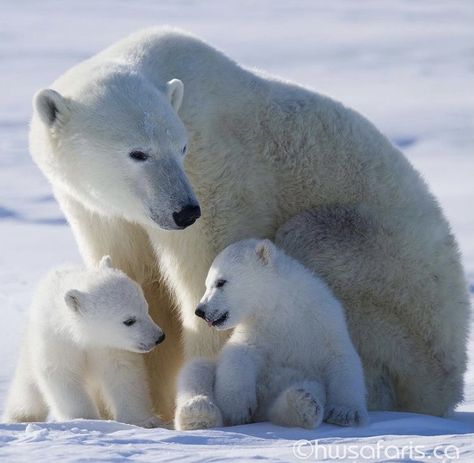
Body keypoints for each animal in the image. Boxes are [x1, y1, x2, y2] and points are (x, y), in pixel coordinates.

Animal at [30, 28, 470, 420]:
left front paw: (199, 403)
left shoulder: (216, 175)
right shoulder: (99, 211)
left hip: (397, 296)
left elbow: (209, 280)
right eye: (138, 153)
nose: (184, 211)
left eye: (181, 147)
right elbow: (134, 276)